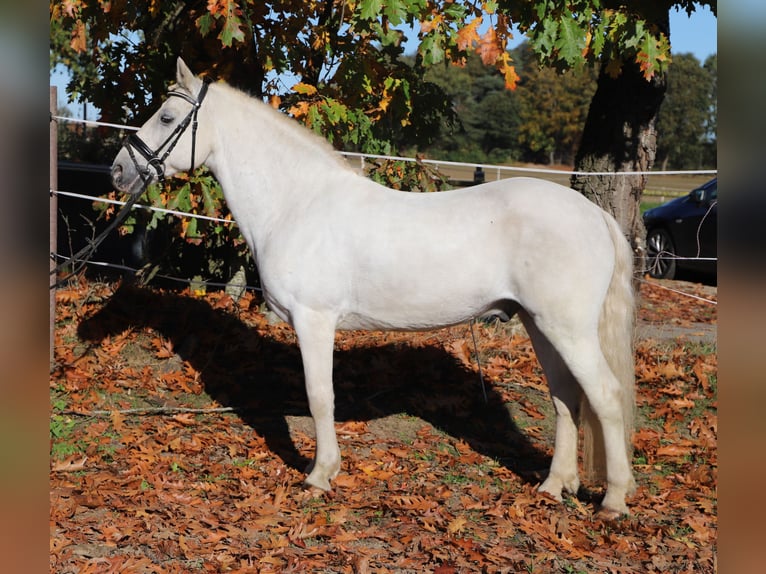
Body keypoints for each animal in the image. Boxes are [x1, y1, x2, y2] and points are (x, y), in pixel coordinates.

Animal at [111, 58, 637, 515]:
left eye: (167, 116)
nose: (119, 170)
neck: (297, 203)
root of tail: (594, 215)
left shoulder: (314, 321)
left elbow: (319, 395)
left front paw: (320, 475)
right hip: (539, 324)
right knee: (565, 397)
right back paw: (553, 486)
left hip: (566, 328)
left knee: (605, 396)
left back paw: (612, 501)